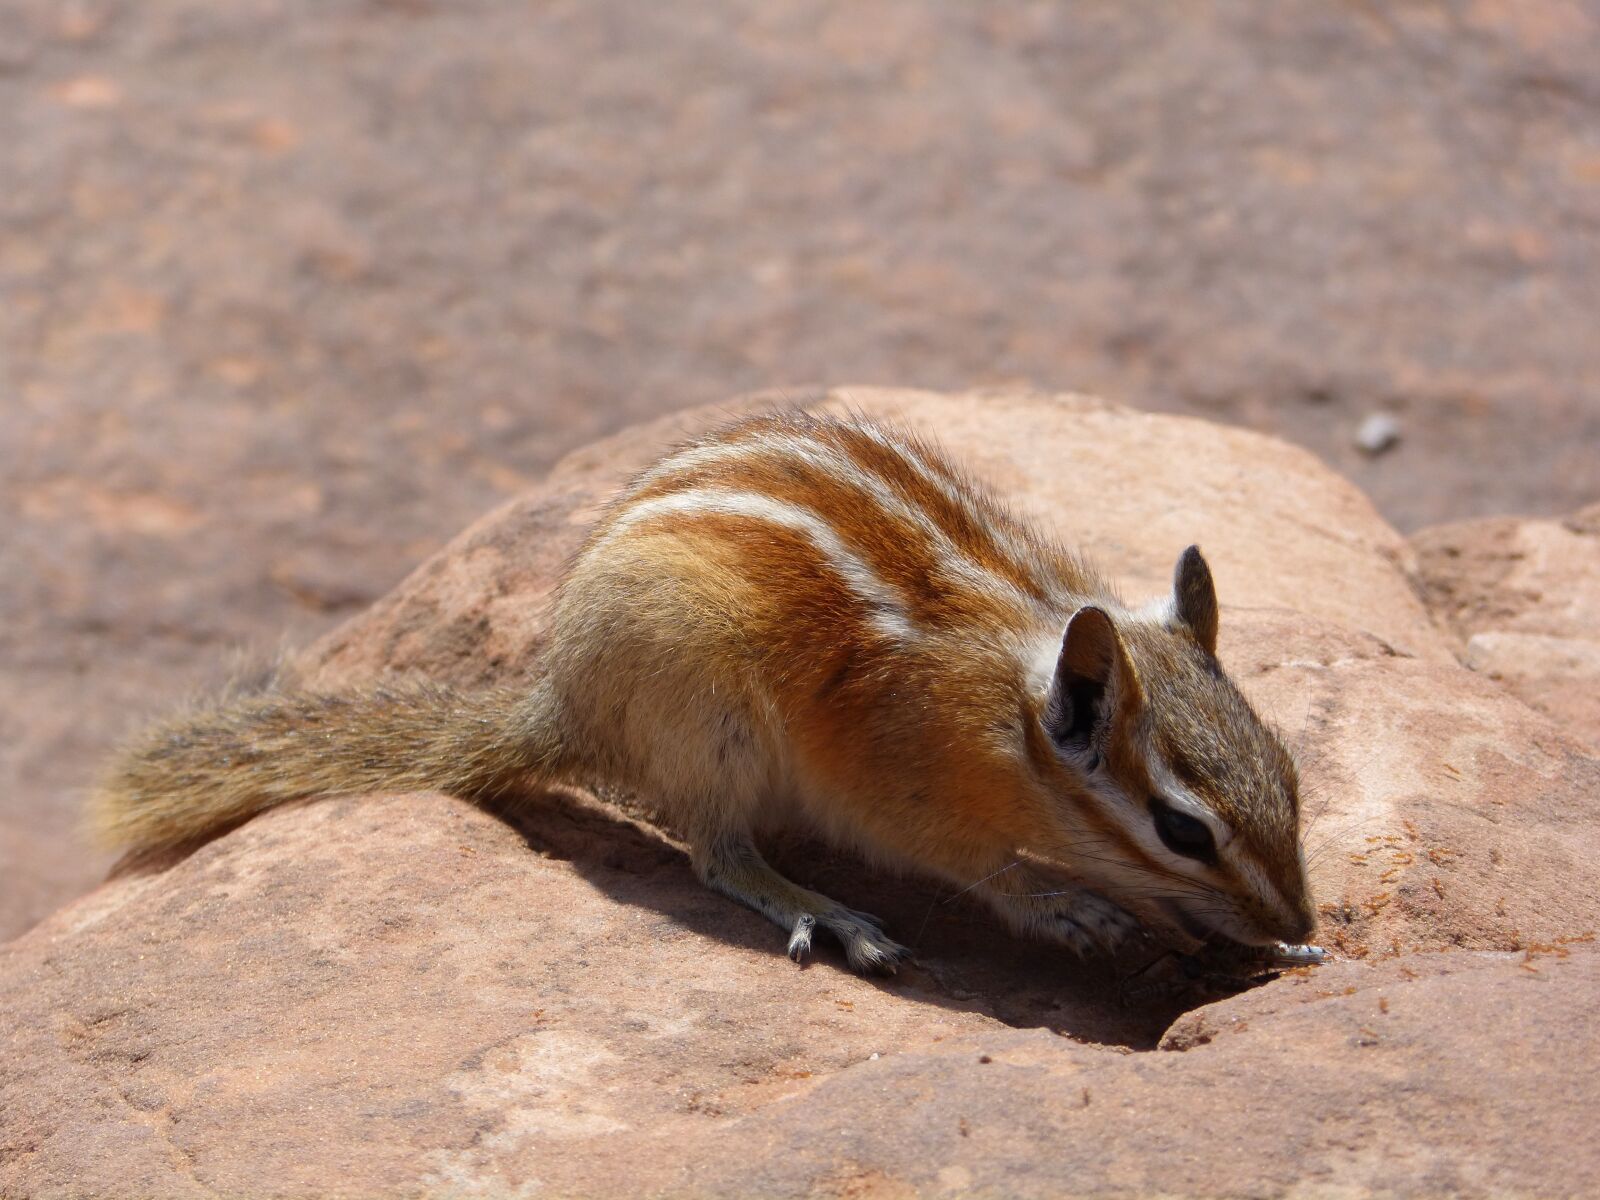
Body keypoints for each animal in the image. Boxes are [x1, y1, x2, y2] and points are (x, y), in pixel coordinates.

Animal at [92, 410, 1319, 974]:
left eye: (1294, 778)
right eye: (1183, 829)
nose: (1304, 924)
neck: (1007, 718)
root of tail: (561, 700)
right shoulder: (906, 795)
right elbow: (986, 872)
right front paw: (1075, 909)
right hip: (710, 717)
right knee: (714, 853)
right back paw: (822, 911)